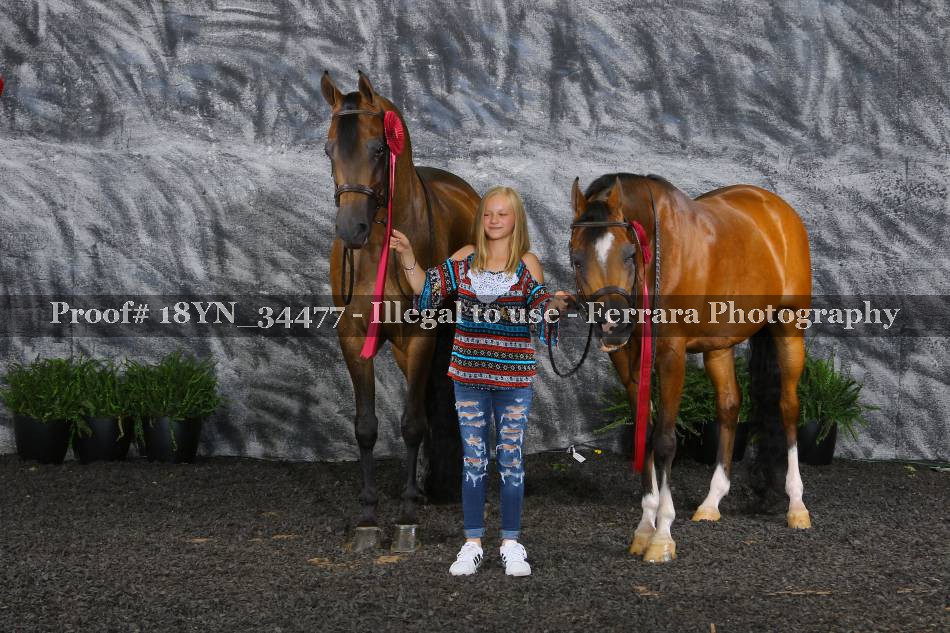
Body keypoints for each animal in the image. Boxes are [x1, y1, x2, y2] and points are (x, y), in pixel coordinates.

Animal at [321, 71, 478, 548]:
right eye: (329, 149)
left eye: (378, 148)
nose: (350, 229)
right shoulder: (353, 338)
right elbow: (366, 427)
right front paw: (369, 519)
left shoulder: (420, 337)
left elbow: (411, 423)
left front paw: (406, 517)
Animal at [566, 173, 812, 562]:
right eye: (577, 259)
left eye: (629, 254)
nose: (613, 324)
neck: (657, 253)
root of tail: (778, 210)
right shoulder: (627, 362)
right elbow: (645, 437)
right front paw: (643, 529)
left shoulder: (671, 354)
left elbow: (665, 441)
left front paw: (662, 536)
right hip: (719, 345)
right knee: (729, 405)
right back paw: (711, 502)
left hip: (790, 328)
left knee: (788, 407)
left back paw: (797, 506)